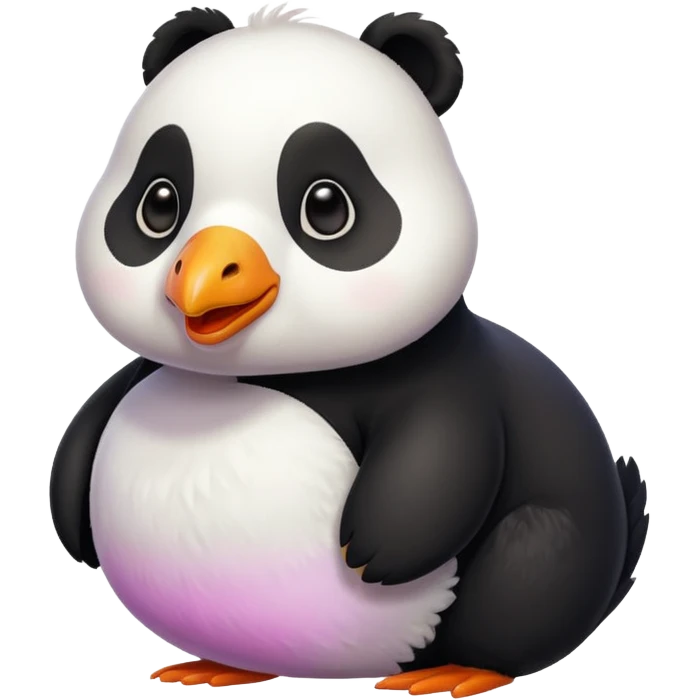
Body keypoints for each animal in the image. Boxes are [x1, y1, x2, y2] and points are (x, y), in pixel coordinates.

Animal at [50, 4, 649, 697]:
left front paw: (375, 549)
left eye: (326, 206)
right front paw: (68, 515)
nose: (202, 277)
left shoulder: (452, 384)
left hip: (547, 551)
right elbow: (101, 406)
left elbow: (445, 457)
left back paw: (458, 669)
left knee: (529, 569)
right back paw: (221, 663)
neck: (257, 375)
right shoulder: (146, 371)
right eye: (159, 203)